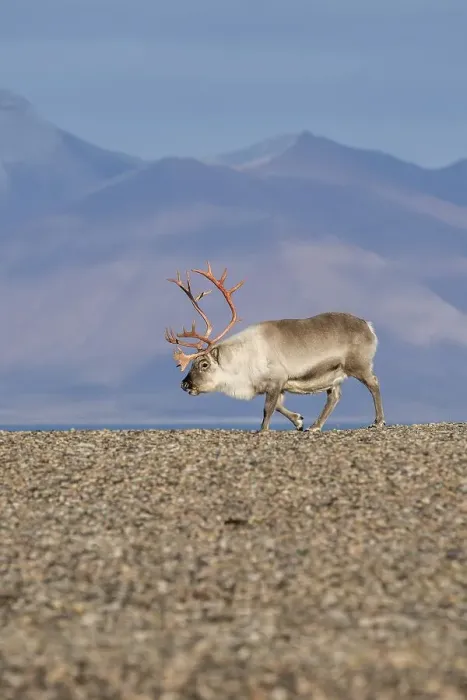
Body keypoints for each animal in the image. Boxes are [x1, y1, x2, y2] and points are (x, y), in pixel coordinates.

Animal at [164, 262, 385, 433]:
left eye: (203, 364)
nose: (185, 384)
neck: (239, 362)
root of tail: (368, 326)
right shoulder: (279, 385)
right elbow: (278, 406)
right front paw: (299, 421)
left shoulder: (277, 379)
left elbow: (268, 408)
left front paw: (263, 430)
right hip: (333, 374)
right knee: (334, 396)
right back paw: (315, 426)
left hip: (359, 365)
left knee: (373, 383)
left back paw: (378, 422)